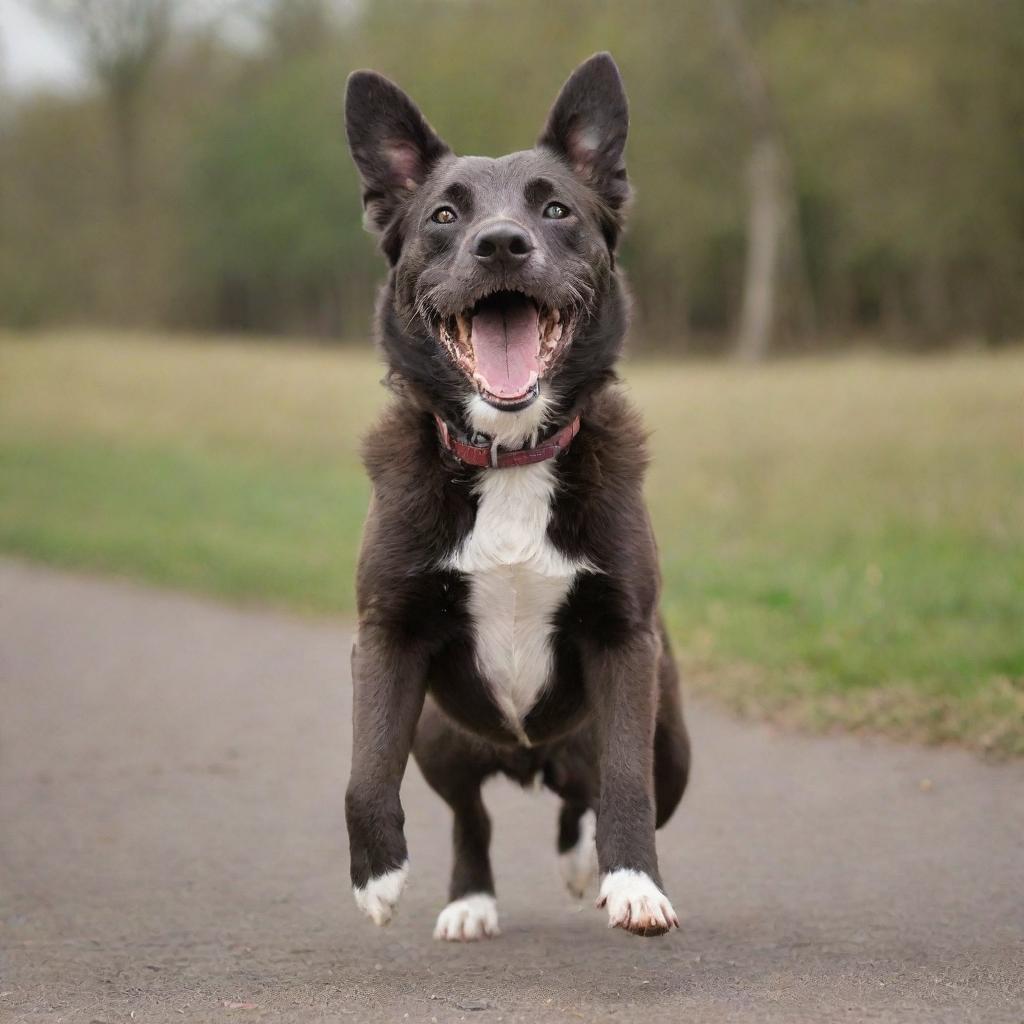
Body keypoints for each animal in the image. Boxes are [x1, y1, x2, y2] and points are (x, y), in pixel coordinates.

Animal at [344, 51, 688, 937]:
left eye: (557, 208)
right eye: (443, 215)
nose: (501, 243)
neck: (510, 457)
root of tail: (531, 758)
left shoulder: (625, 641)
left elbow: (625, 784)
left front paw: (634, 883)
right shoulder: (388, 632)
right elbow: (366, 768)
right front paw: (378, 878)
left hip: (671, 741)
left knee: (594, 792)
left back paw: (584, 863)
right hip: (440, 736)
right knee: (474, 815)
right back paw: (469, 900)